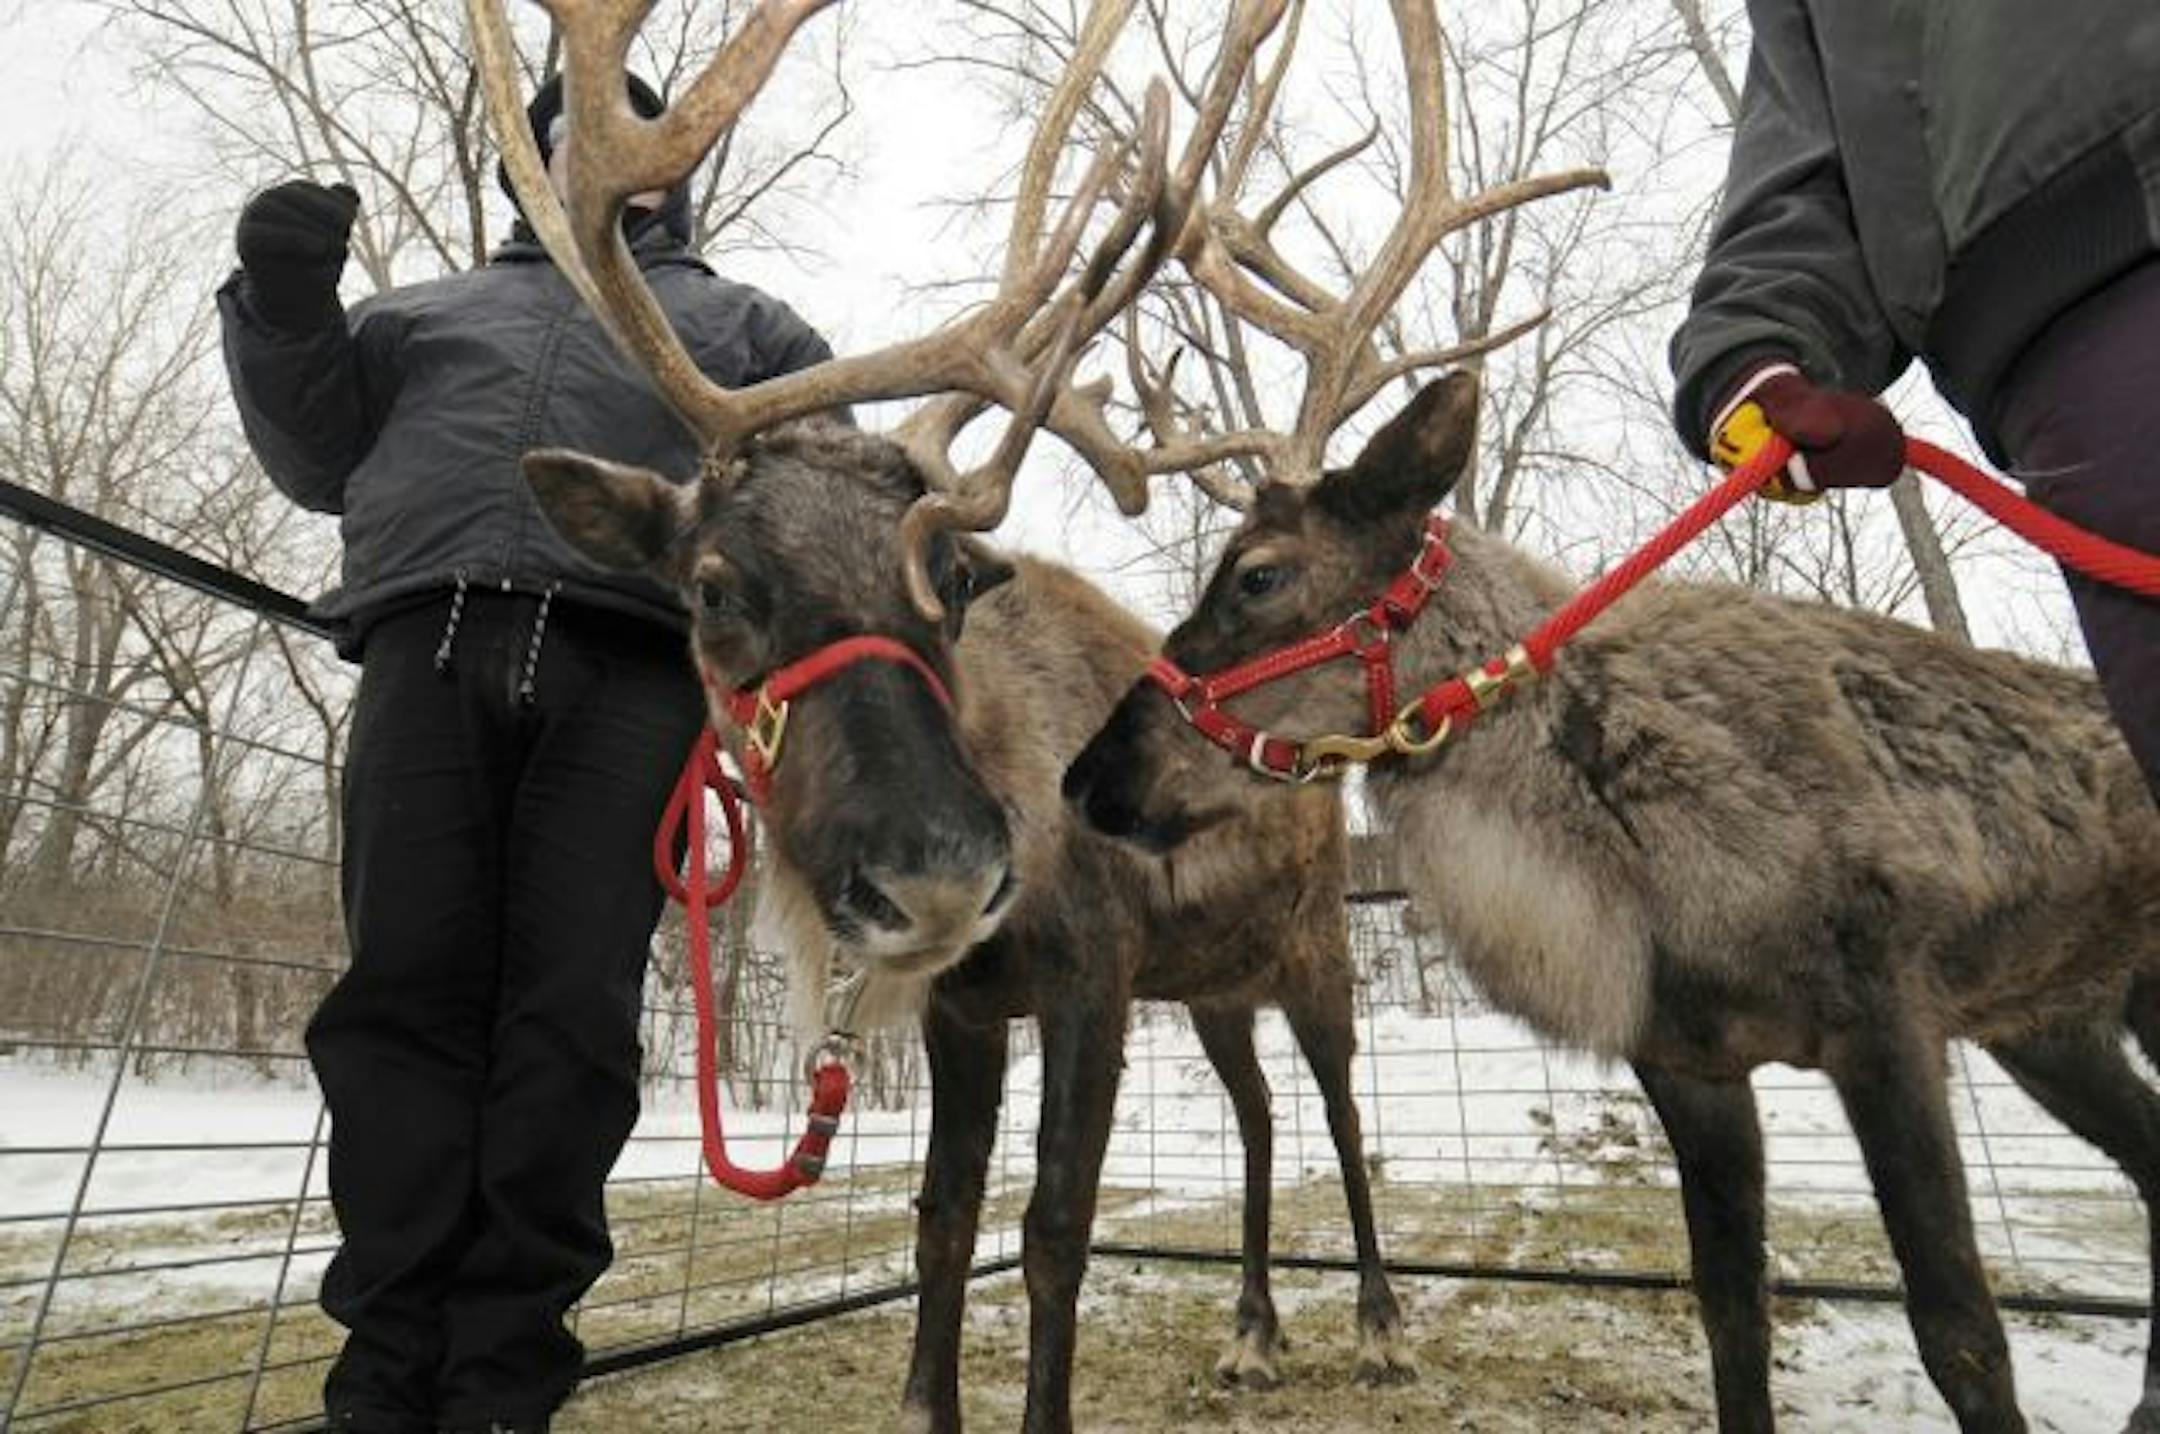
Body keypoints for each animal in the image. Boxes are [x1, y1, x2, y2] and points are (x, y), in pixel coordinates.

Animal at [465, 0, 1416, 1428]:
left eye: (958, 581)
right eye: (711, 588)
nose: (942, 877)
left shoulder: (1089, 980)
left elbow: (1055, 1231)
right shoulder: (971, 1010)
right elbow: (943, 1222)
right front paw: (927, 1400)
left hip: (1313, 955)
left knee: (1344, 1115)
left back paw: (1376, 1324)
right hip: (1211, 986)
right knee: (1255, 1114)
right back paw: (1252, 1328)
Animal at [1052, 11, 2160, 1429]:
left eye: (1255, 576)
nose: (1090, 772)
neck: (1631, 847)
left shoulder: (1889, 1008)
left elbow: (1962, 1330)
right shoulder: (1688, 1058)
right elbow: (1731, 1313)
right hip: (2052, 1018)